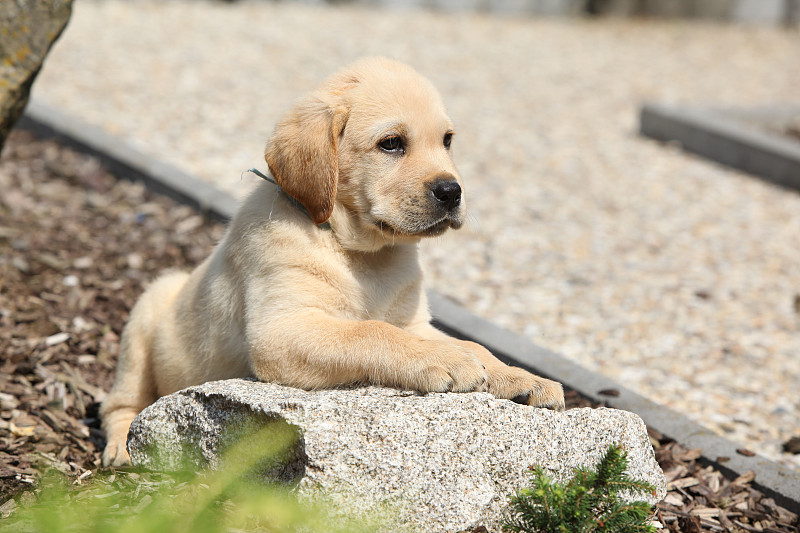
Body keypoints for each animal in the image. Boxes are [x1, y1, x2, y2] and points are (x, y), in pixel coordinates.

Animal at [100, 59, 564, 466]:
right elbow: (371, 332)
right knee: (120, 405)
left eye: (447, 140)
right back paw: (122, 448)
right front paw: (447, 361)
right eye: (391, 143)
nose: (452, 192)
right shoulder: (282, 330)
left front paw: (519, 378)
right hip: (146, 312)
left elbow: (472, 344)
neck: (362, 252)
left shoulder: (414, 323)